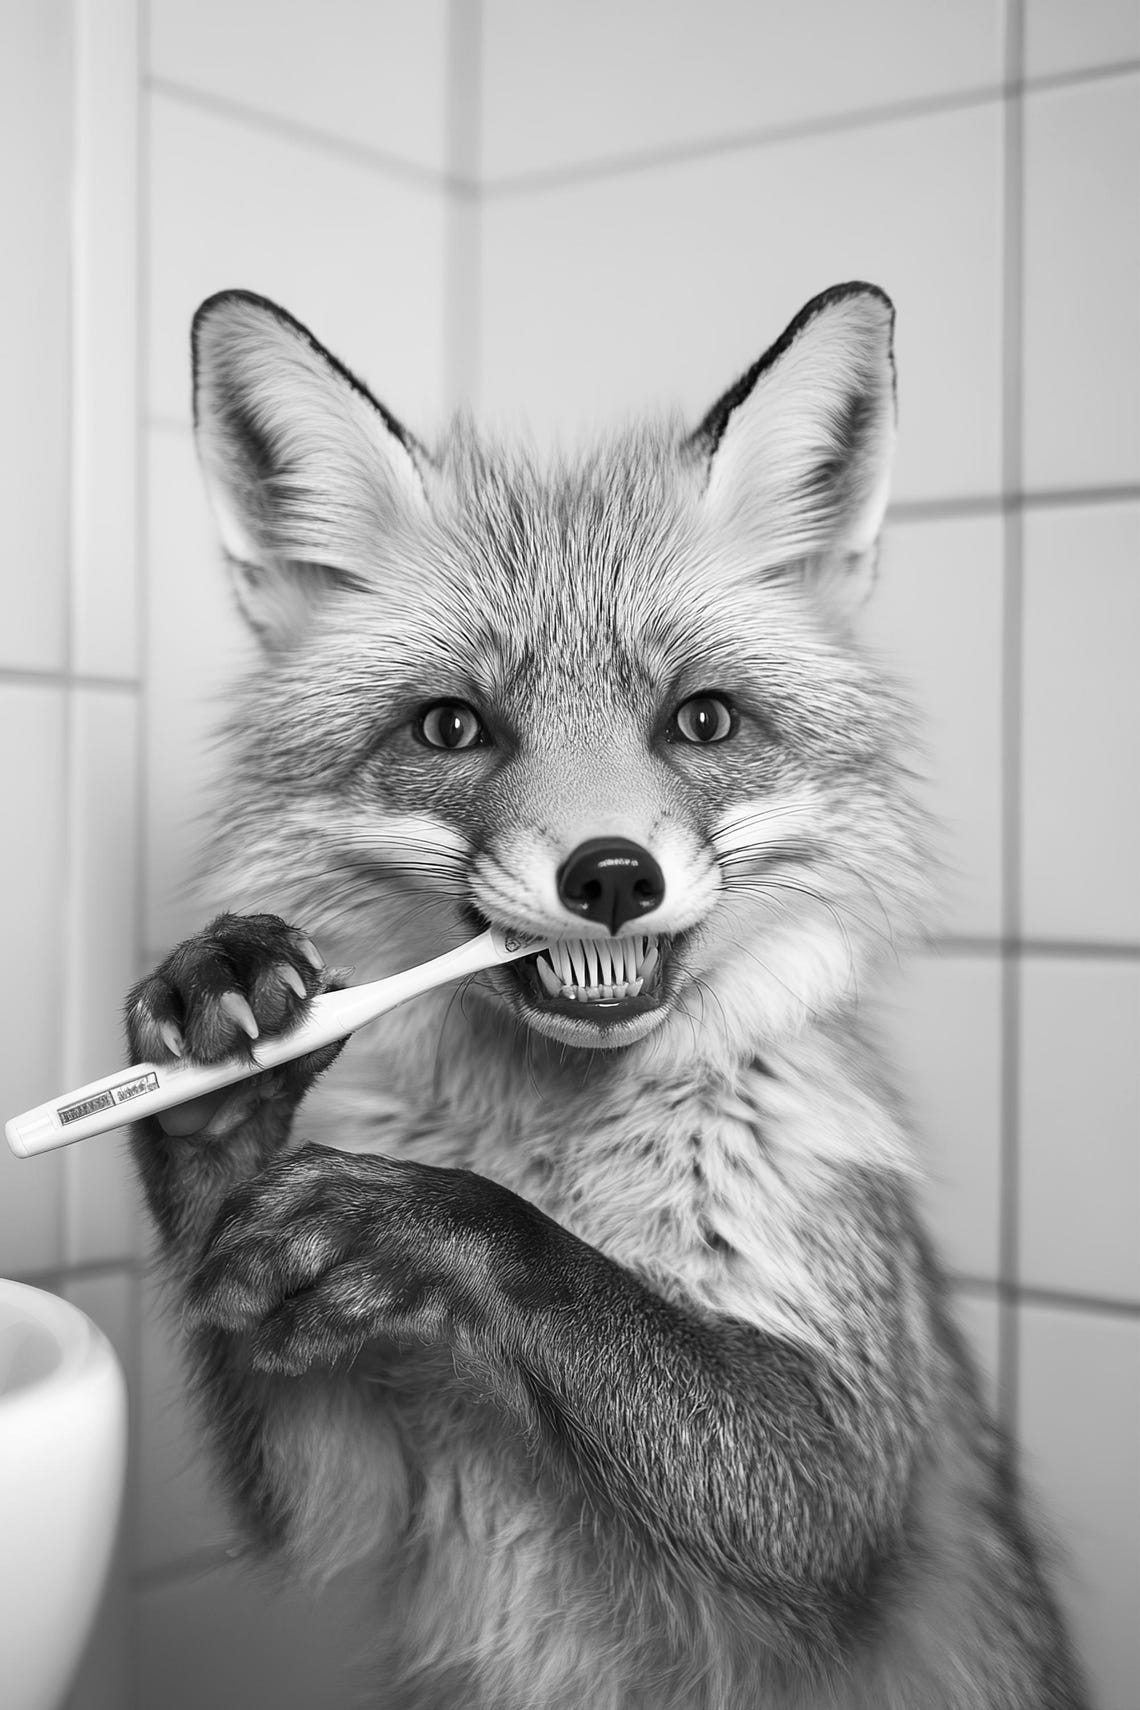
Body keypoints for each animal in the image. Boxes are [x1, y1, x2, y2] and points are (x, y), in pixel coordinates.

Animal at [126, 282, 1089, 1708]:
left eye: (702, 721)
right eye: (451, 728)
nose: (614, 876)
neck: (552, 1138)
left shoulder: (849, 1471)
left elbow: (559, 1273)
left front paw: (426, 1221)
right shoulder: (350, 1461)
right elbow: (308, 1451)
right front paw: (216, 1071)